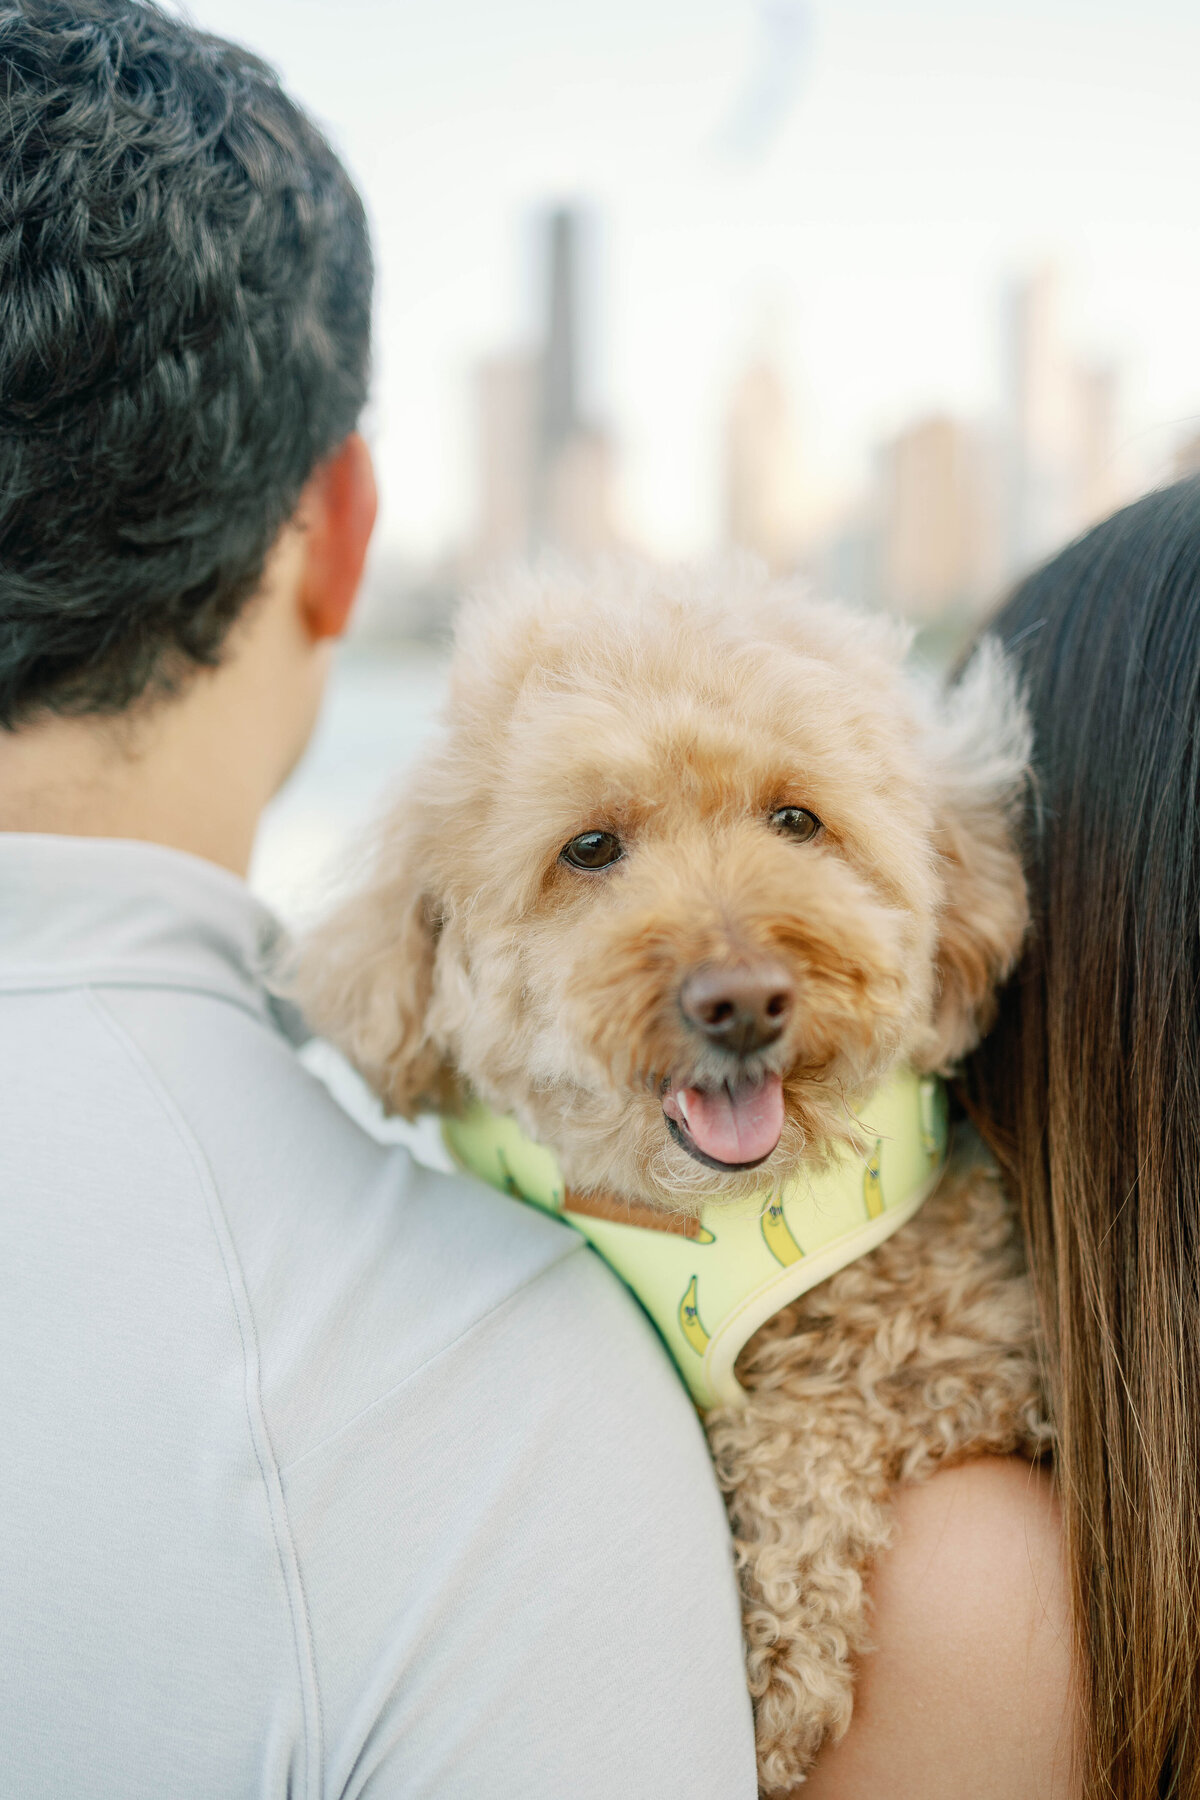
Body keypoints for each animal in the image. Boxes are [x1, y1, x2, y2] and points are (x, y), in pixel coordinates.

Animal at [295, 558, 1043, 1785]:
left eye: (797, 819)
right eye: (591, 847)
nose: (741, 999)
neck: (710, 1214)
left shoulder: (986, 1345)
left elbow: (819, 1413)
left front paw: (779, 1681)